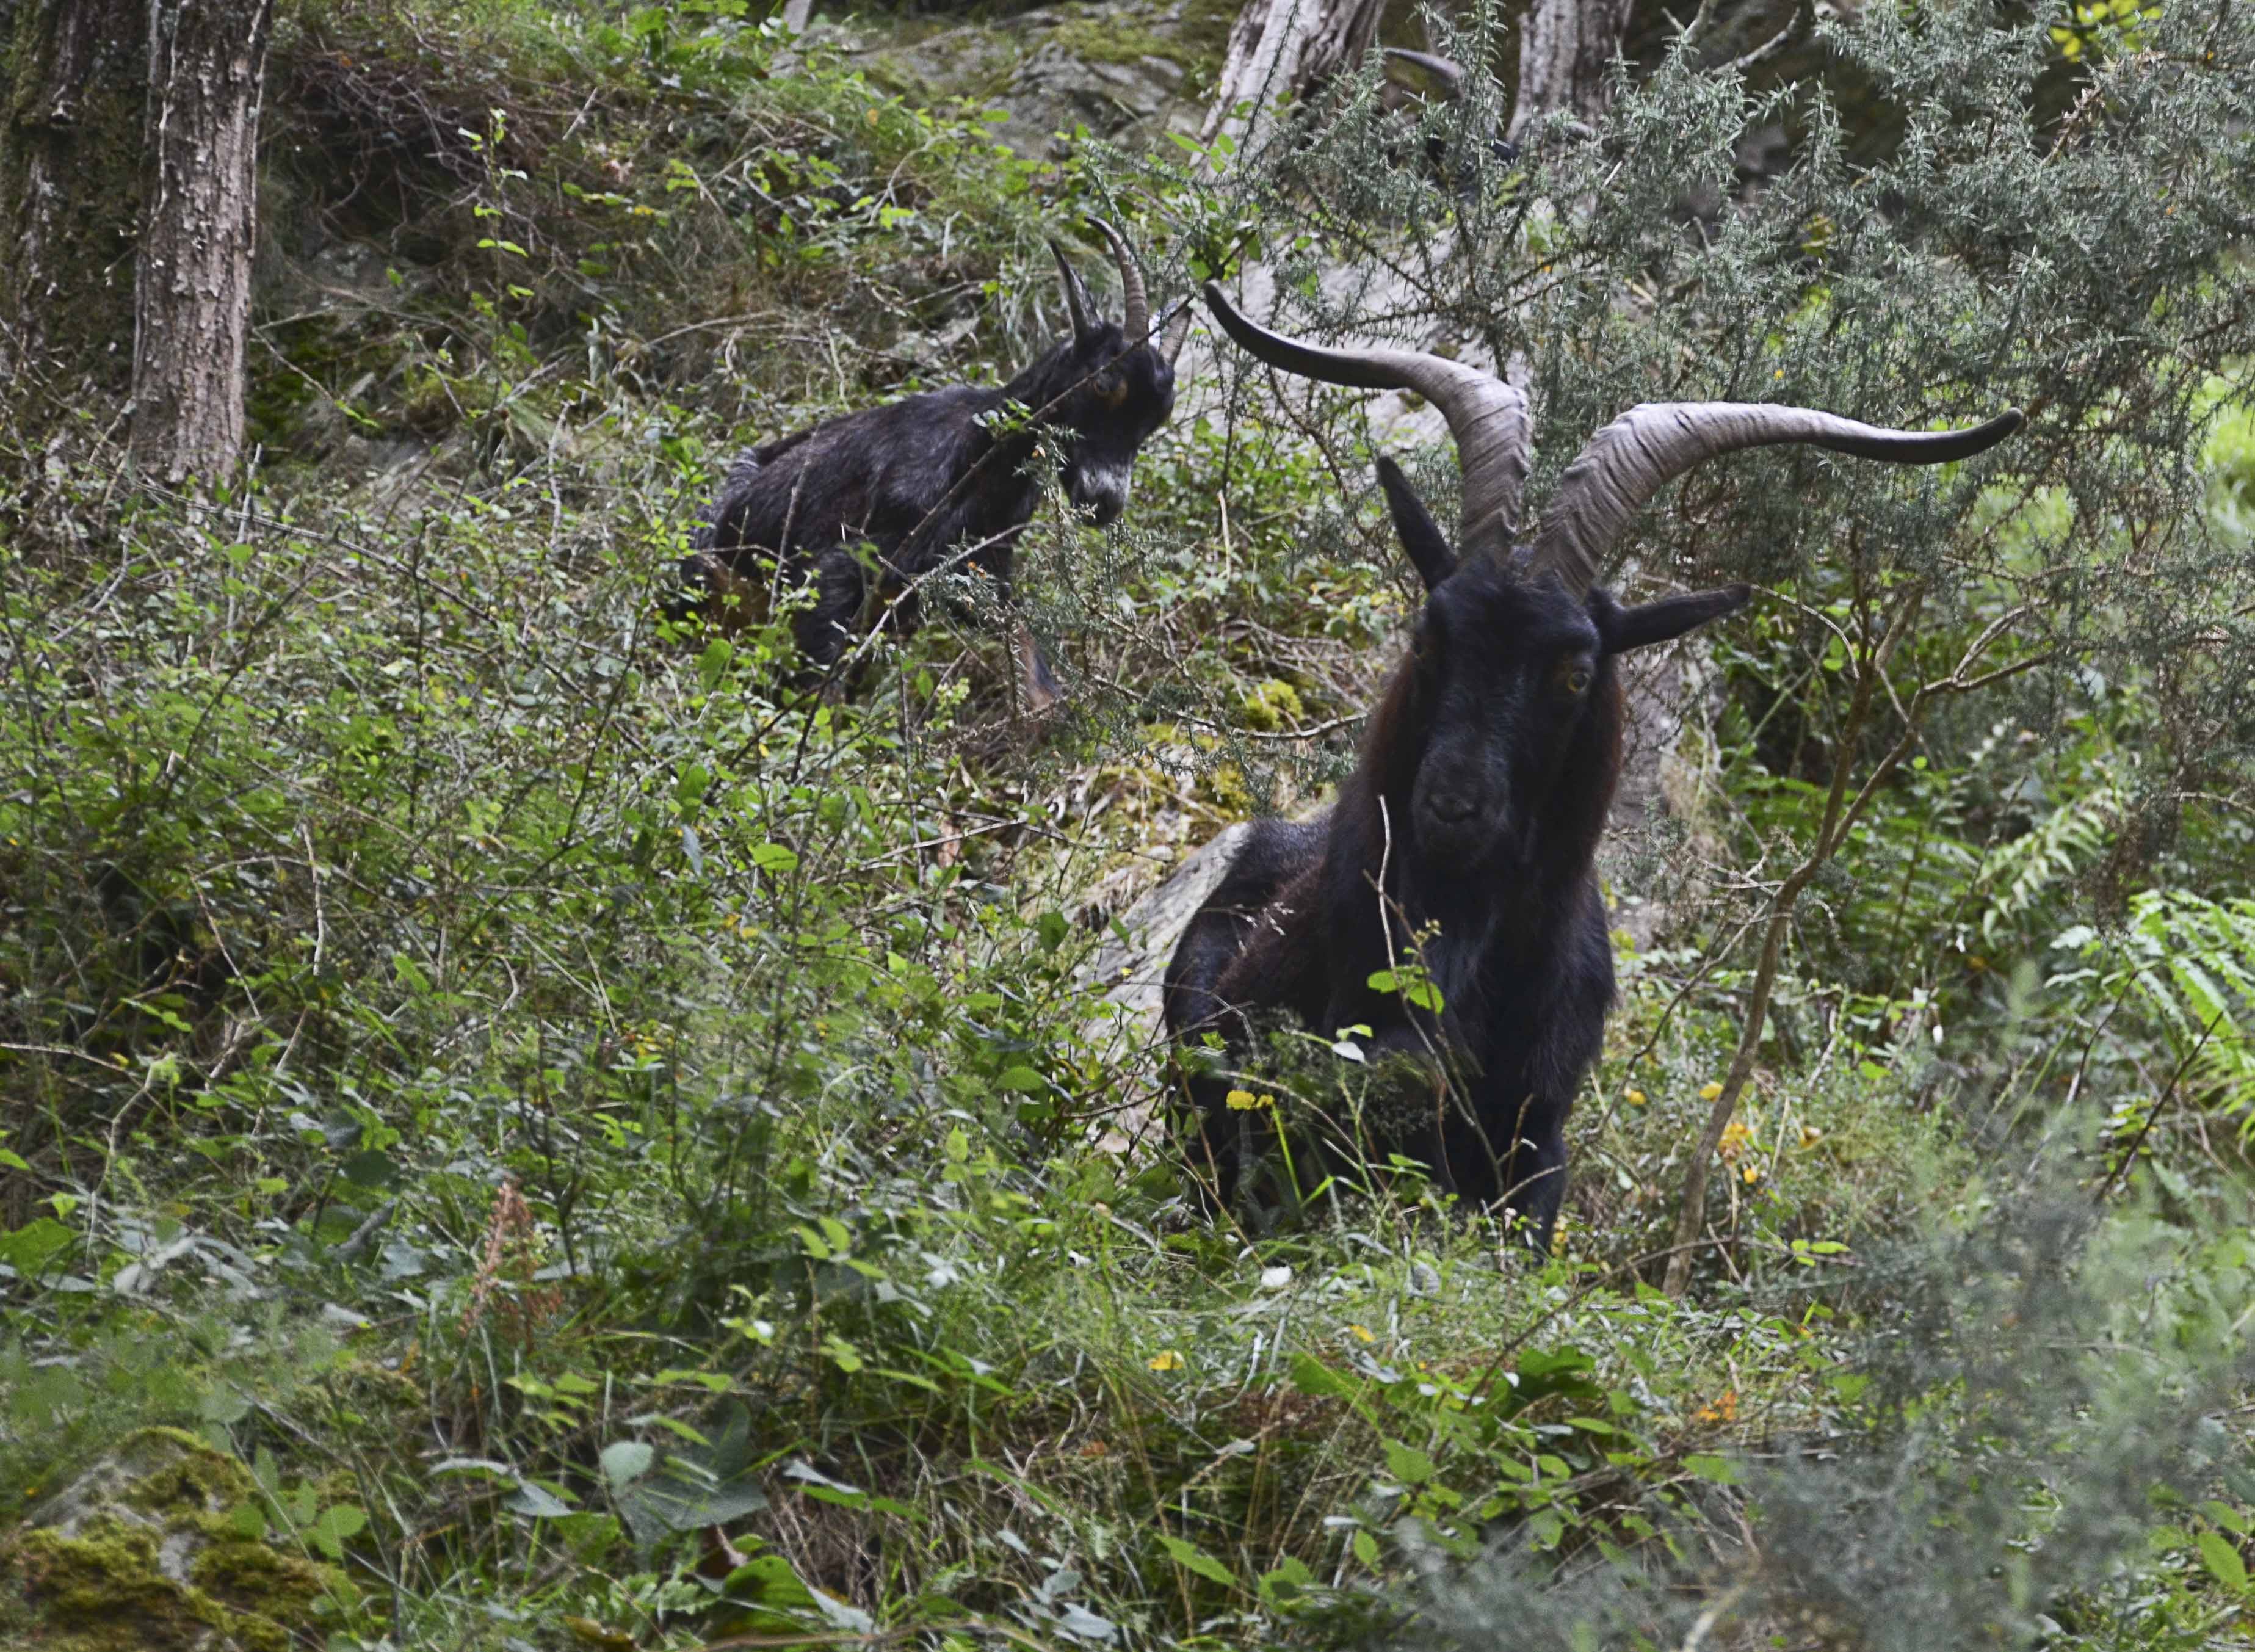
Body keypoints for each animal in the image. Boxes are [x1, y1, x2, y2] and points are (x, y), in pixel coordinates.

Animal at [669, 223, 1193, 708]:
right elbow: (822, 684)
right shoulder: (840, 564)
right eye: (1104, 383)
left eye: (1160, 417)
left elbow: (1034, 666)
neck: (977, 465)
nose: (1105, 501)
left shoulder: (978, 575)